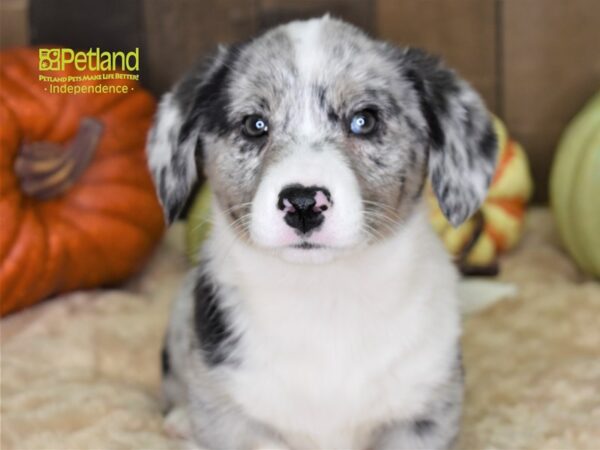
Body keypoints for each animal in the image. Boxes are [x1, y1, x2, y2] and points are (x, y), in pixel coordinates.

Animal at [146, 14, 496, 450]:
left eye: (364, 120)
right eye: (255, 125)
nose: (302, 203)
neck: (323, 294)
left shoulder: (422, 415)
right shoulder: (234, 419)